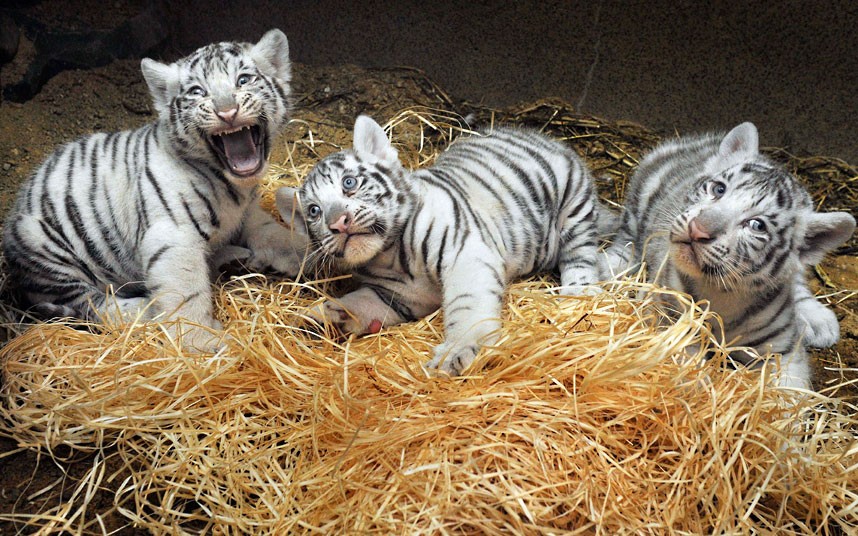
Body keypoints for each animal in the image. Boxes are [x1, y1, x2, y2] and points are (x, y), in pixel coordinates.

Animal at [2, 29, 308, 350]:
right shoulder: (174, 235)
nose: (227, 111)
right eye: (198, 91)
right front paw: (202, 342)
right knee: (93, 303)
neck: (232, 186)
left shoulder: (247, 212)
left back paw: (234, 259)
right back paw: (149, 310)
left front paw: (302, 252)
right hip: (40, 245)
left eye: (243, 79)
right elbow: (187, 292)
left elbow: (271, 231)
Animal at [276, 115, 604, 376]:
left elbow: (467, 305)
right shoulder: (395, 297)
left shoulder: (465, 254)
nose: (339, 223)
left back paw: (579, 291)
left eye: (349, 183)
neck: (389, 256)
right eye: (314, 211)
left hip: (575, 205)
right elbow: (358, 302)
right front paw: (322, 316)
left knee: (582, 253)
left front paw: (458, 351)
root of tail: (541, 135)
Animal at [604, 122, 855, 389]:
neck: (721, 291)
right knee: (628, 240)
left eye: (757, 225)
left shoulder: (782, 350)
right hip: (640, 201)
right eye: (719, 189)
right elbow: (686, 362)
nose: (698, 229)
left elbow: (791, 390)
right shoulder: (663, 313)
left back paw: (818, 319)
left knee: (795, 276)